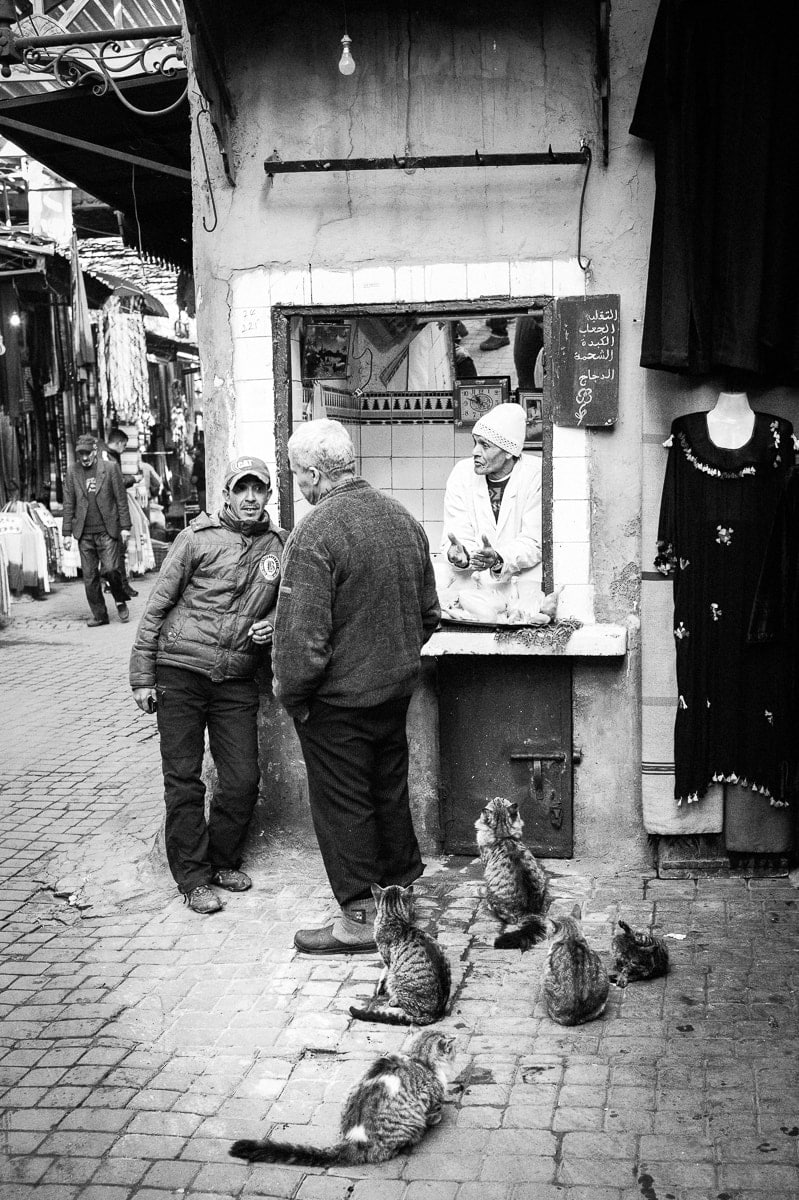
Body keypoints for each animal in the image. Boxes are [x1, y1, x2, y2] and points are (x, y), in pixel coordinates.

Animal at [229, 1027, 453, 1166]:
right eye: (452, 1050)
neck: (418, 1060)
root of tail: (355, 1138)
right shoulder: (429, 1096)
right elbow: (434, 1110)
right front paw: (437, 1117)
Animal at [347, 883, 448, 1022]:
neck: (393, 918)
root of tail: (434, 1014)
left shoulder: (387, 959)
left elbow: (385, 970)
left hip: (395, 978)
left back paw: (394, 1001)